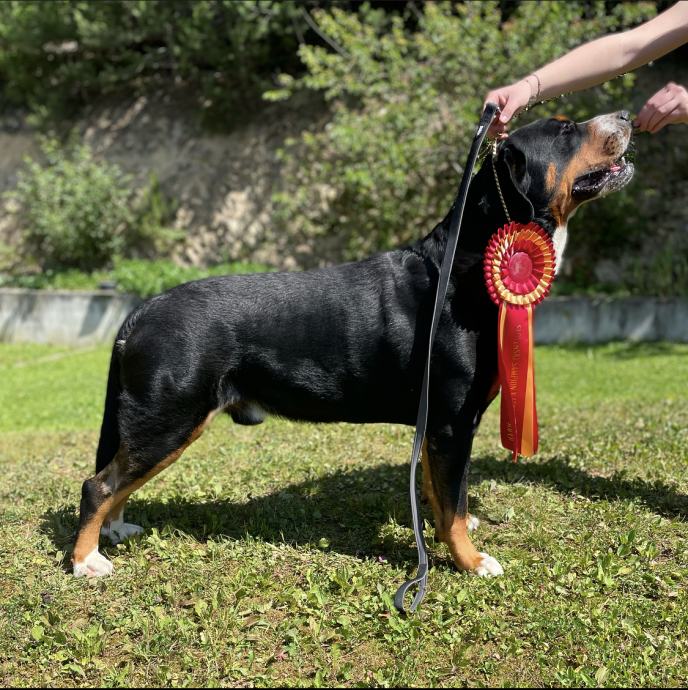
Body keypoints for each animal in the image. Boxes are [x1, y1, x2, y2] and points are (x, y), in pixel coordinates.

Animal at [71, 110, 636, 576]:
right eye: (566, 130)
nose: (627, 115)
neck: (465, 268)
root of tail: (144, 309)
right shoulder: (453, 423)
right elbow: (452, 503)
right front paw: (472, 562)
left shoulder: (436, 426)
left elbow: (439, 494)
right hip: (169, 418)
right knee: (99, 483)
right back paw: (86, 561)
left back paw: (115, 530)